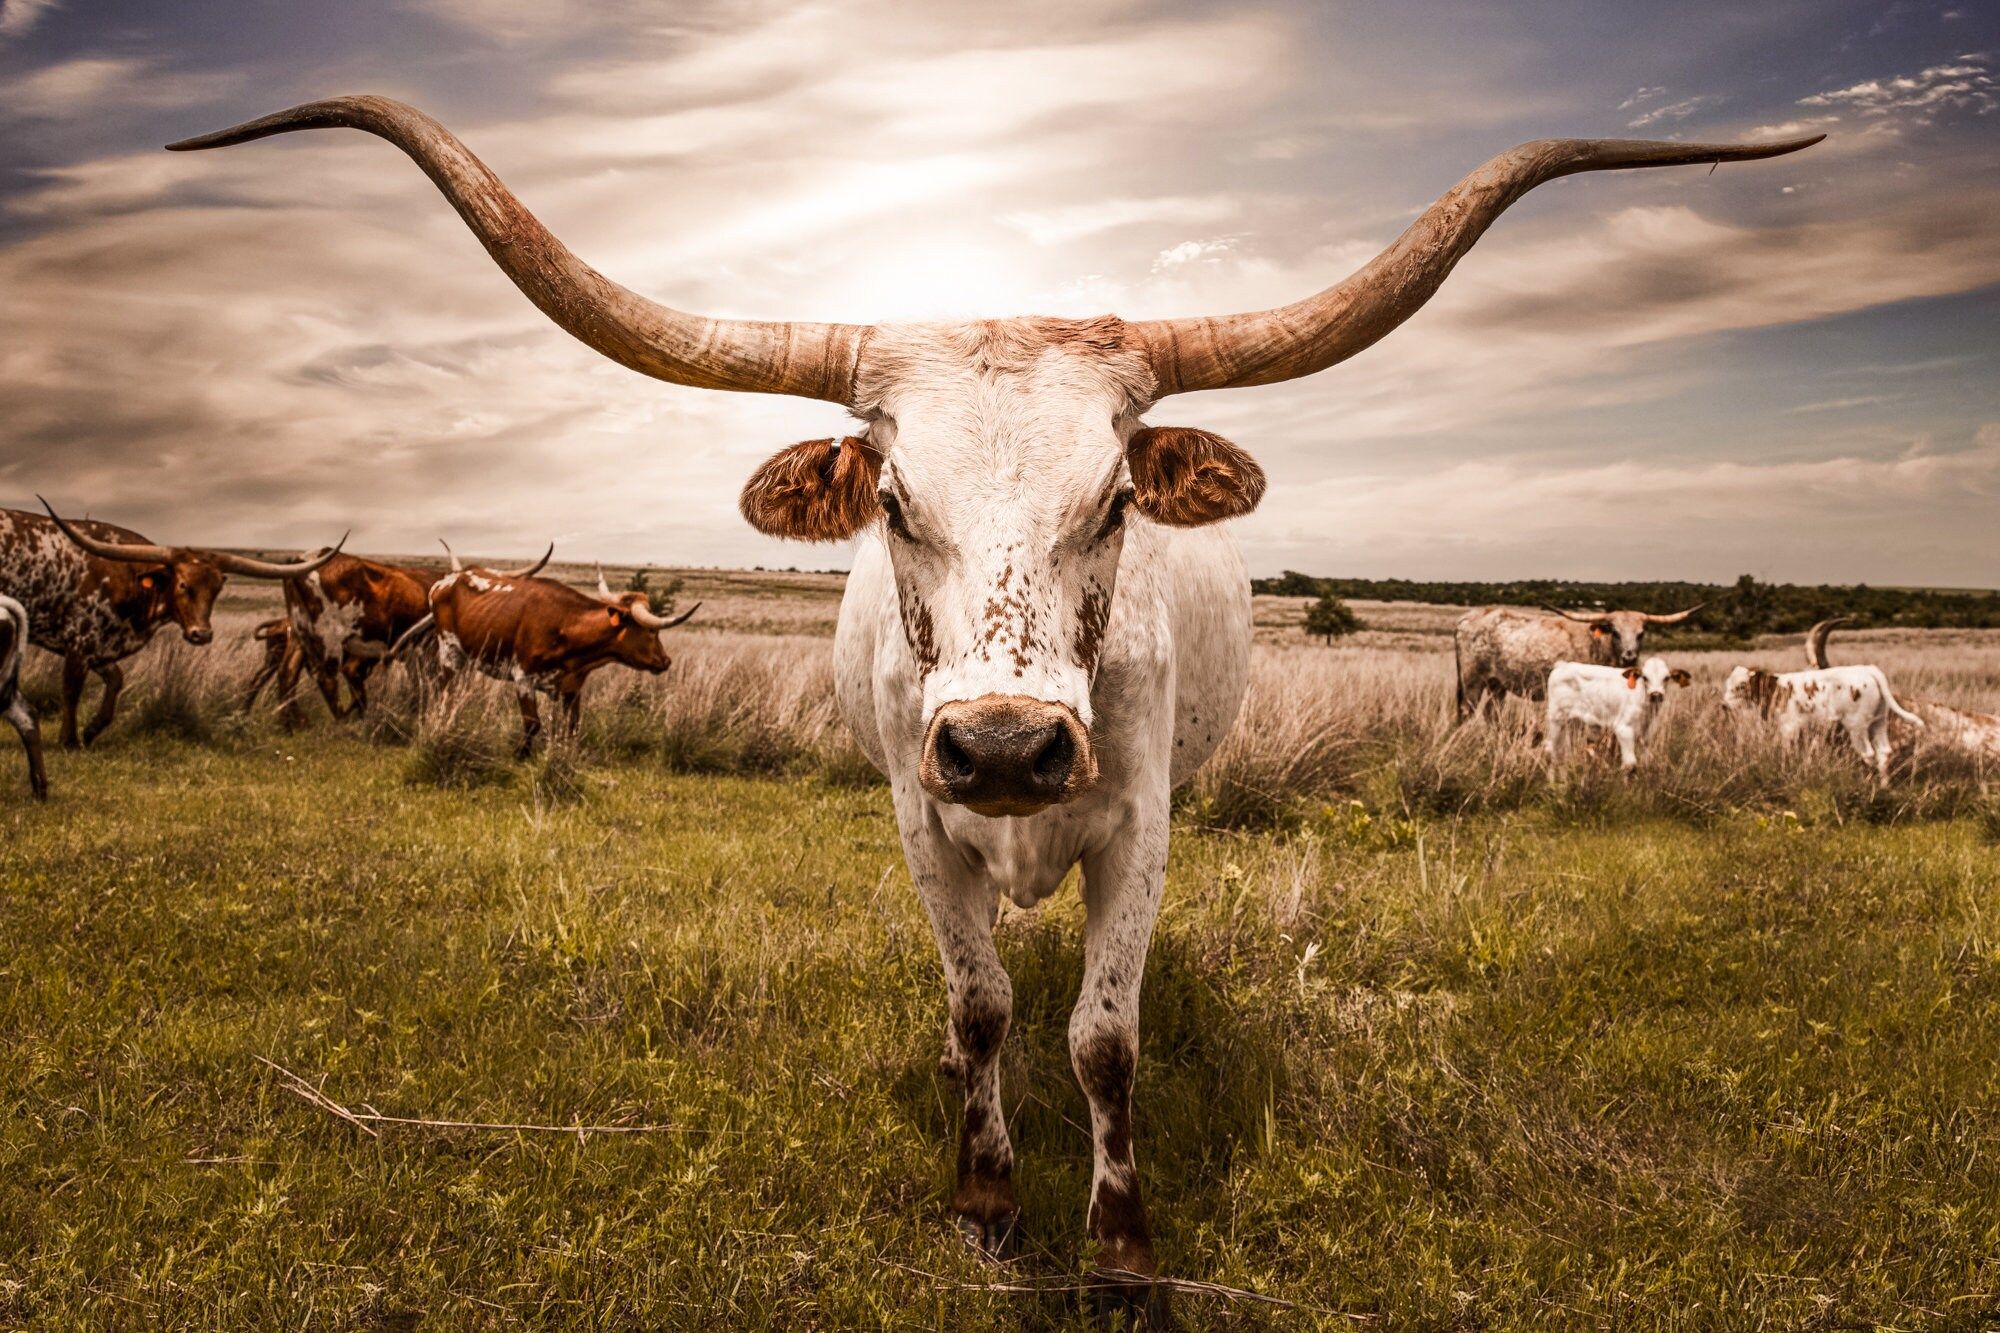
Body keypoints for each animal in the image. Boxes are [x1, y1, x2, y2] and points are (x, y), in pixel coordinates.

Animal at [0, 500, 340, 740]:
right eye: (183, 585)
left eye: (216, 589)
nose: (202, 634)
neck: (126, 574)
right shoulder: (80, 642)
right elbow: (71, 690)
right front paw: (69, 740)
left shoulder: (102, 644)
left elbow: (116, 680)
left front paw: (94, 728)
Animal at [394, 552, 700, 756]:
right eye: (651, 631)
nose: (665, 661)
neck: (567, 626)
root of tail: (448, 580)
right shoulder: (523, 678)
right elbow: (532, 724)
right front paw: (521, 755)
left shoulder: (572, 688)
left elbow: (572, 727)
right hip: (449, 652)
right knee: (443, 691)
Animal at [1544, 652, 1688, 768]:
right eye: (1645, 677)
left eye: (1666, 678)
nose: (1656, 695)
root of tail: (1563, 665)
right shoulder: (1623, 729)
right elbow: (1630, 765)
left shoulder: (1645, 735)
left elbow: (1646, 759)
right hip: (1556, 719)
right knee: (1552, 751)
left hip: (1573, 723)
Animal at [1720, 660, 1920, 780]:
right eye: (1727, 684)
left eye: (1742, 685)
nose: (1724, 705)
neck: (1777, 689)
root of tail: (1868, 669)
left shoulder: (1789, 728)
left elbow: (1785, 752)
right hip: (1878, 722)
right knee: (1884, 752)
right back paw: (1884, 787)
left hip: (1856, 726)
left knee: (1868, 754)